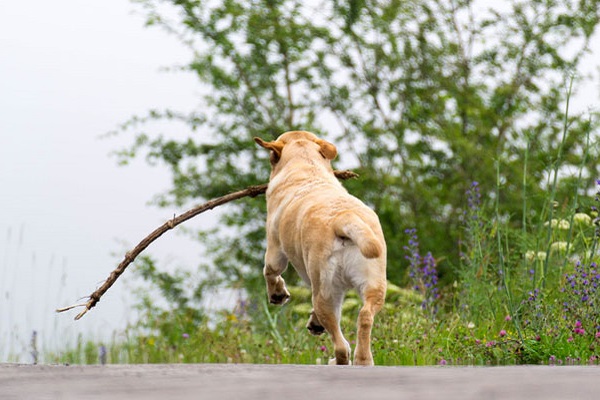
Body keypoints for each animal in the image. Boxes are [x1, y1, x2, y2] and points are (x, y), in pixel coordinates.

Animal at [254, 130, 386, 366]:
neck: (306, 166)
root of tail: (344, 219)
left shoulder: (275, 249)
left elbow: (270, 271)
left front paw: (277, 294)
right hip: (373, 283)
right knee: (365, 316)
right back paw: (363, 360)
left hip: (326, 291)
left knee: (341, 345)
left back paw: (339, 360)